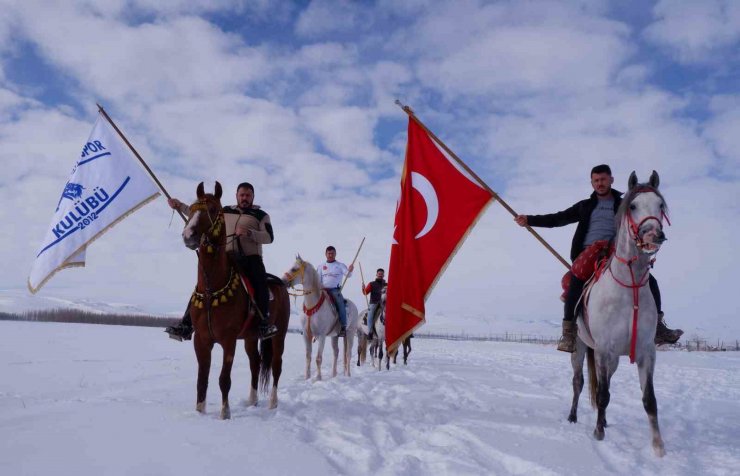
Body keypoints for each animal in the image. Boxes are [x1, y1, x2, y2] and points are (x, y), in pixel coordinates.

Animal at [181, 182, 290, 416]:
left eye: (213, 209)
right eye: (192, 208)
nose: (188, 235)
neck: (212, 288)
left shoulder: (228, 341)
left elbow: (224, 379)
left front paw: (225, 413)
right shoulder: (201, 340)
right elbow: (202, 379)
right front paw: (199, 412)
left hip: (279, 335)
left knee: (276, 366)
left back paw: (272, 403)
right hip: (250, 337)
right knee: (255, 363)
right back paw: (252, 401)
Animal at [568, 172, 668, 458]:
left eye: (660, 205)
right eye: (632, 206)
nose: (653, 235)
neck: (628, 287)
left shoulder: (647, 352)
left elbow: (649, 400)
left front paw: (658, 446)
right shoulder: (603, 349)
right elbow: (601, 395)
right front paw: (598, 433)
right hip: (581, 348)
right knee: (579, 382)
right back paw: (573, 417)